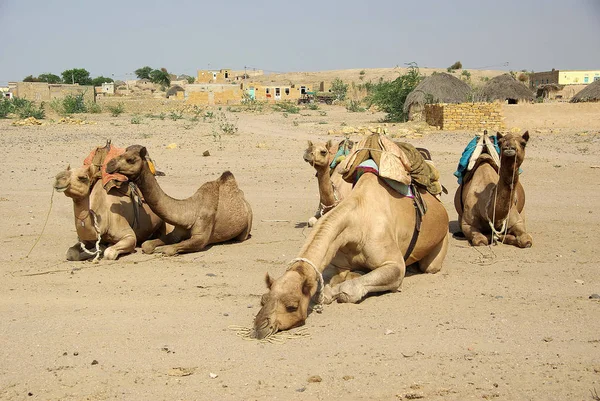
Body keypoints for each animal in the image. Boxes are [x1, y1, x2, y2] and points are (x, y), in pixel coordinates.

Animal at [105, 145, 251, 255]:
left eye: (131, 159)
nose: (109, 165)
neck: (189, 212)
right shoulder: (177, 232)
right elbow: (147, 244)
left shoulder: (201, 238)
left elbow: (170, 249)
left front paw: (161, 249)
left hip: (247, 226)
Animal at [251, 172, 448, 338]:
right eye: (263, 299)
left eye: (292, 306)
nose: (259, 328)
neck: (355, 225)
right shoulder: (338, 261)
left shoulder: (396, 265)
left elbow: (348, 291)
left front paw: (332, 292)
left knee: (429, 266)